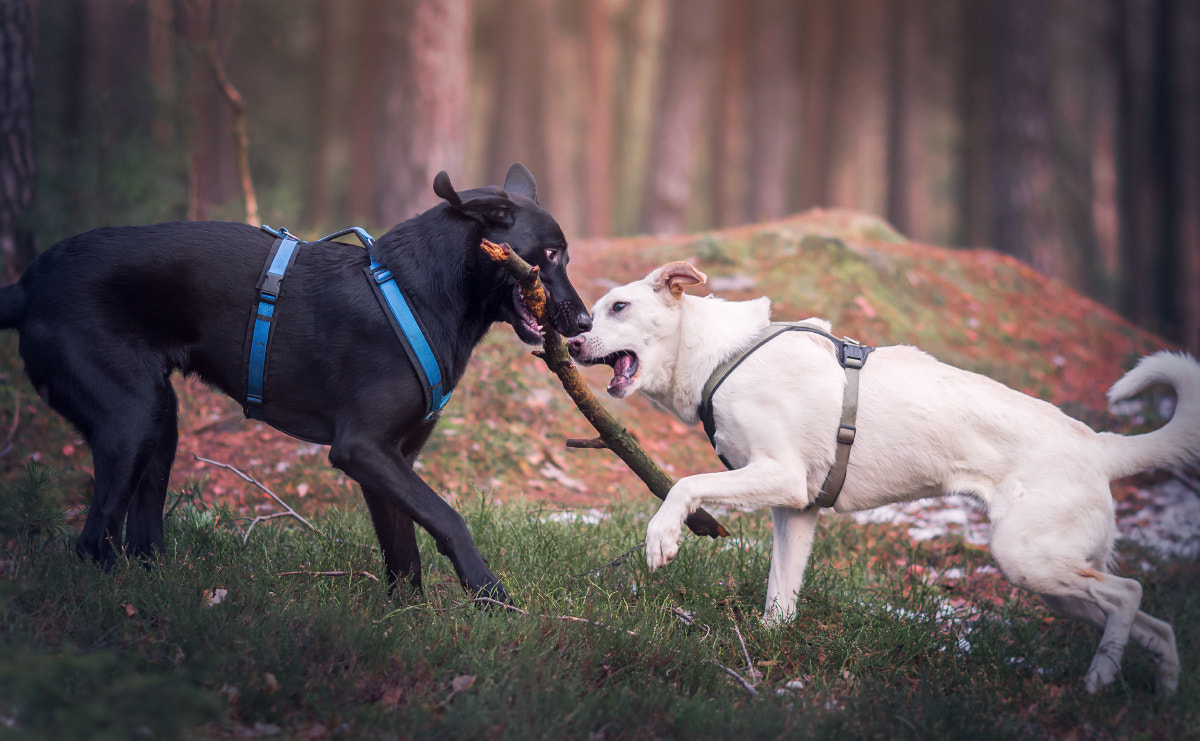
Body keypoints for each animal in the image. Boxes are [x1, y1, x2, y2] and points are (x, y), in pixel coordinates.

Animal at [0, 163, 590, 599]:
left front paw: (407, 622)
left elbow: (404, 552)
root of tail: (27, 285)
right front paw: (490, 594)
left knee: (138, 537)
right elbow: (447, 518)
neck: (422, 290)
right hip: (131, 418)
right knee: (93, 540)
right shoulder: (361, 448)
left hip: (159, 423)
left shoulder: (390, 457)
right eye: (550, 254)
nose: (584, 324)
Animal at [566, 261, 1195, 690]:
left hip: (1029, 559)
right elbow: (780, 598)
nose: (569, 341)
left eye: (618, 307)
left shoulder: (781, 476)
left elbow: (683, 485)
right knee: (1156, 626)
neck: (726, 355)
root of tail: (1100, 447)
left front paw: (662, 538)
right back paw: (1159, 692)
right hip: (1051, 580)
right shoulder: (797, 510)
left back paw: (1099, 680)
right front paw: (769, 650)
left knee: (1128, 594)